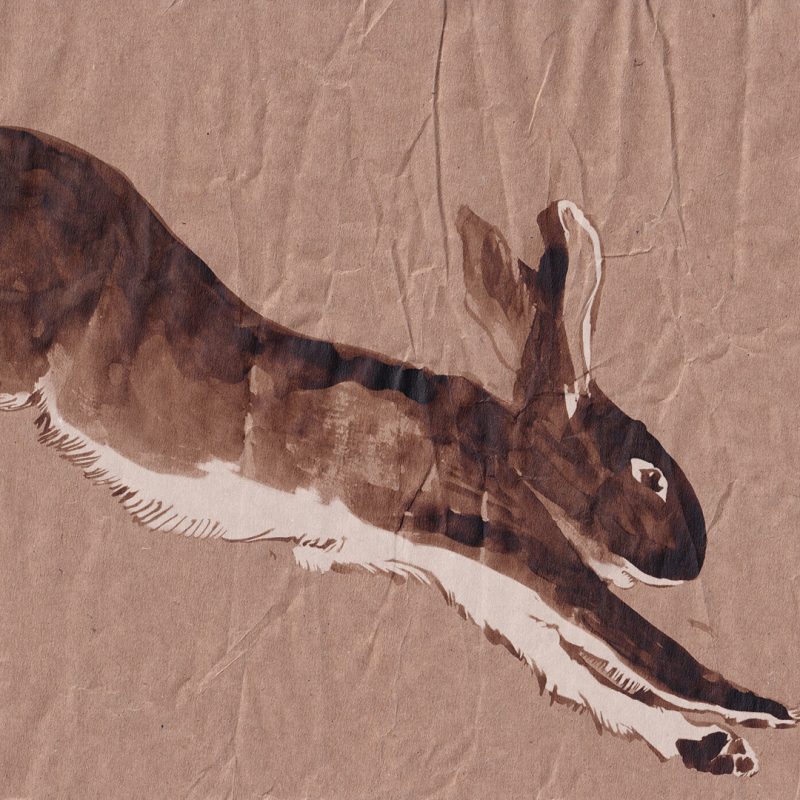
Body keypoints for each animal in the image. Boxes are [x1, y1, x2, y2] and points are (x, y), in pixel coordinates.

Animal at [0, 125, 796, 777]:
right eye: (650, 476)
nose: (694, 562)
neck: (513, 450)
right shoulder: (503, 535)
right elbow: (628, 637)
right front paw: (766, 710)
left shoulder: (486, 588)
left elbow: (578, 675)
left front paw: (715, 750)